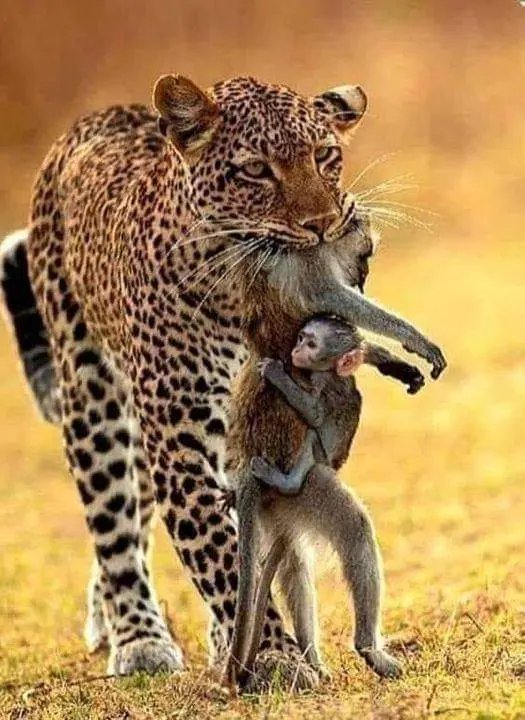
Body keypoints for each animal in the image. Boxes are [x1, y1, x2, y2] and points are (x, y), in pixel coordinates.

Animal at [0, 74, 445, 688]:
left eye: (325, 156)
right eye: (256, 170)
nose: (322, 225)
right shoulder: (180, 440)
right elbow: (222, 555)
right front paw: (274, 654)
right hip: (95, 394)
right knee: (114, 522)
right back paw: (137, 635)